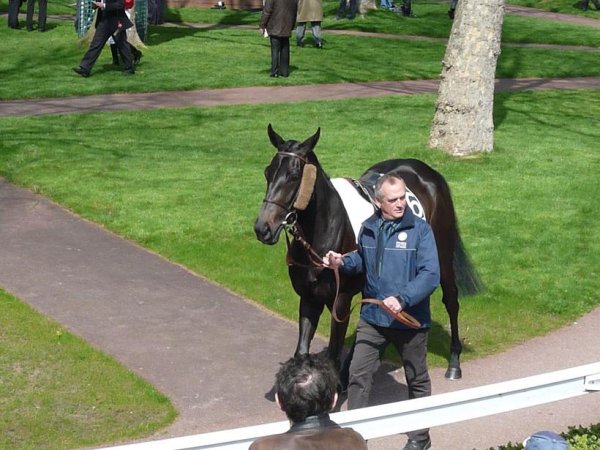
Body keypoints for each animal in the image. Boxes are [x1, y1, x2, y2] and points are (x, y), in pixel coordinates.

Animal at [253, 125, 482, 380]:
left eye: (294, 176)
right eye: (267, 172)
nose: (263, 228)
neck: (324, 232)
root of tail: (429, 173)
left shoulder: (340, 301)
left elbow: (333, 353)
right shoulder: (309, 297)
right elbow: (301, 352)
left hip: (441, 255)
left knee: (451, 300)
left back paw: (454, 363)